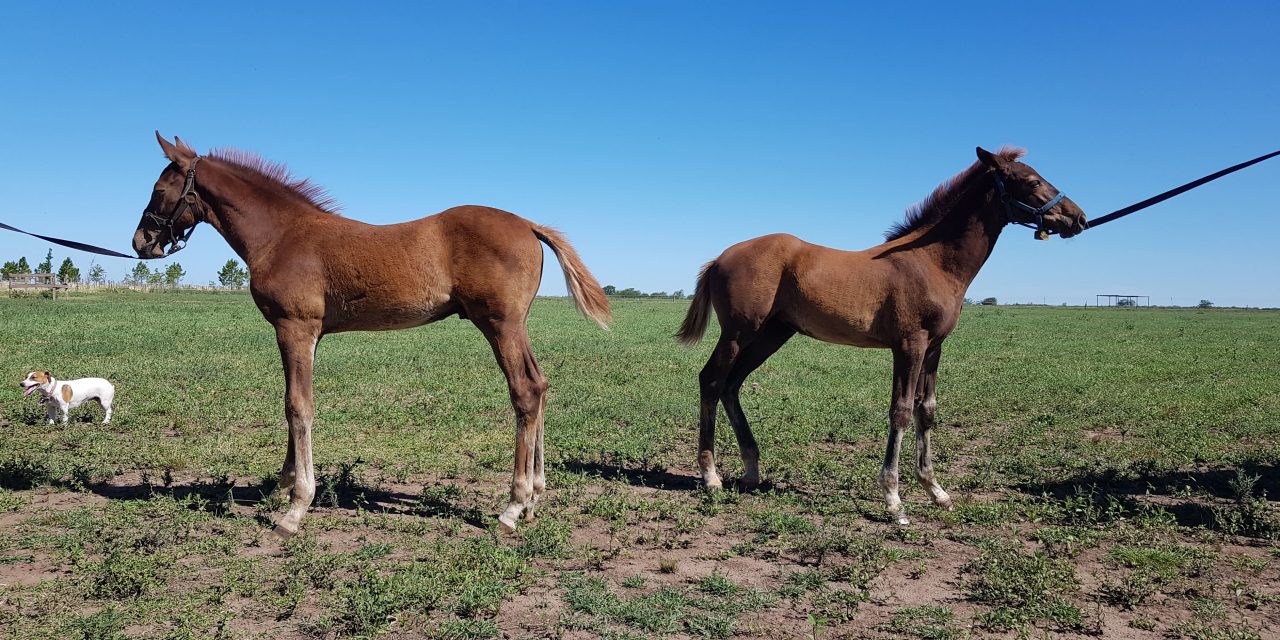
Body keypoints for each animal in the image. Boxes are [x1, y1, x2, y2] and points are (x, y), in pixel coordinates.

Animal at [132, 132, 611, 537]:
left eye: (159, 191)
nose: (140, 242)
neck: (282, 236)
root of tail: (528, 223)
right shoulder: (307, 335)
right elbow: (292, 403)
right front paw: (284, 482)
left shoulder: (294, 327)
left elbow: (297, 406)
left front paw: (296, 508)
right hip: (514, 326)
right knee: (540, 384)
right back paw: (534, 498)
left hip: (500, 324)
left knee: (525, 391)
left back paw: (513, 505)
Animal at [675, 147, 1085, 522]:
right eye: (1032, 182)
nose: (1077, 217)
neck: (933, 262)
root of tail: (719, 258)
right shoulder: (909, 345)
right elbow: (901, 411)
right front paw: (894, 501)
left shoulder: (934, 348)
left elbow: (926, 410)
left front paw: (936, 491)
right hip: (738, 332)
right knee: (712, 380)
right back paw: (711, 476)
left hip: (772, 334)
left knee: (732, 384)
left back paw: (751, 470)